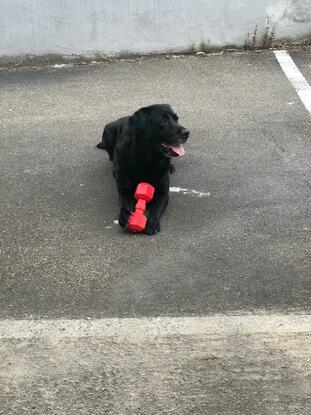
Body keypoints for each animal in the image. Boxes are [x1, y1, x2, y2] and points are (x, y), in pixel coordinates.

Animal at [97, 103, 190, 234]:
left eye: (177, 119)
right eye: (163, 121)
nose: (187, 132)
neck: (147, 161)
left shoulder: (162, 192)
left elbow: (156, 208)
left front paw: (152, 222)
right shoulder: (124, 191)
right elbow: (124, 203)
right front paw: (125, 215)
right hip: (108, 130)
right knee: (111, 157)